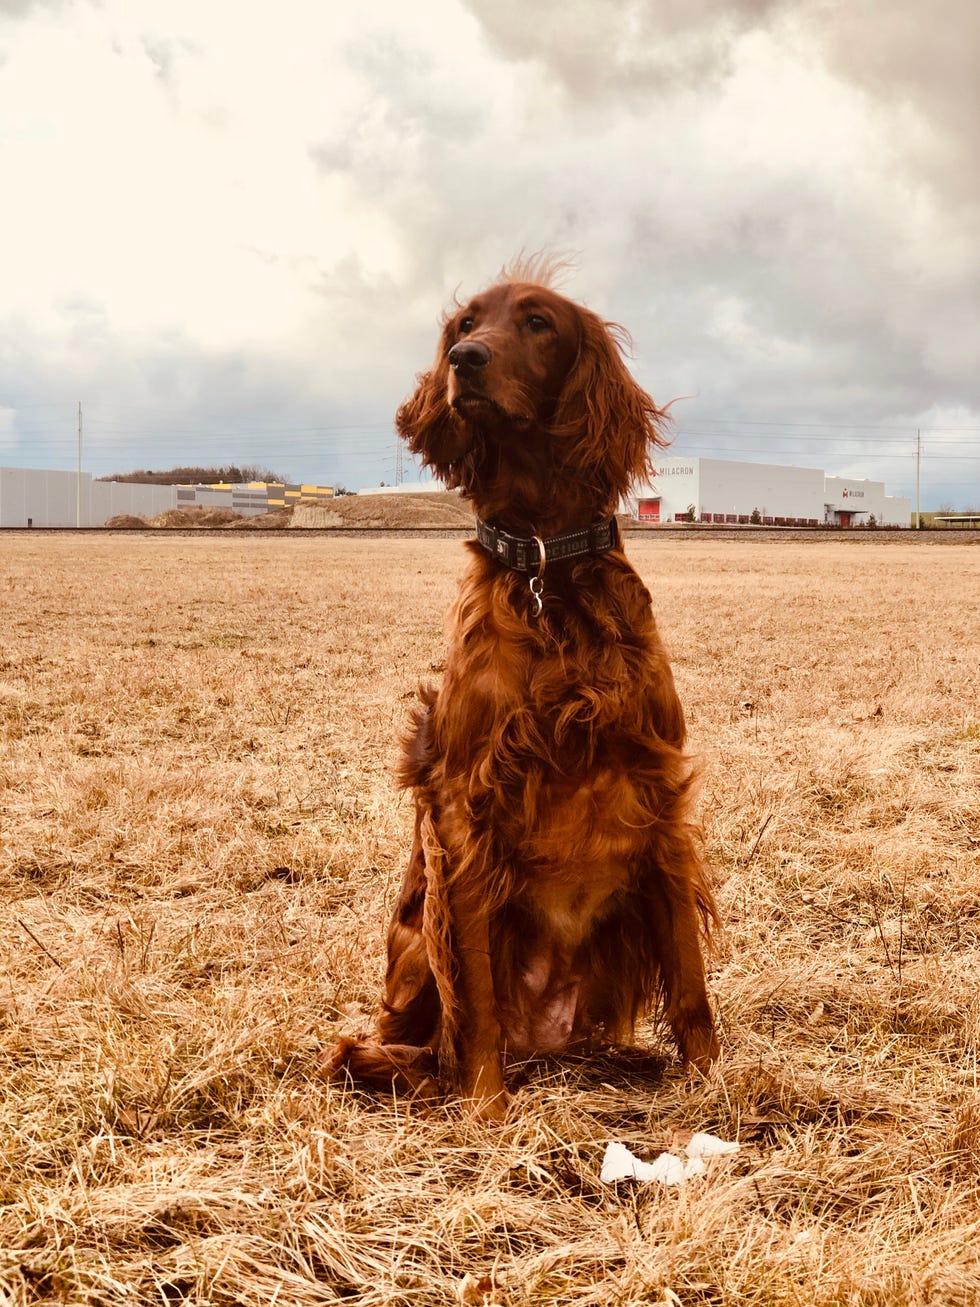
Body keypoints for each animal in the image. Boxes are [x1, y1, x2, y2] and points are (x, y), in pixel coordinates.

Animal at [330, 270, 721, 1118]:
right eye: (463, 325)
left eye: (538, 322)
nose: (466, 361)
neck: (545, 558)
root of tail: (540, 1045)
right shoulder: (463, 808)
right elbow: (474, 992)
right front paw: (486, 1112)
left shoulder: (658, 790)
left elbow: (690, 977)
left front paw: (718, 1086)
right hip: (417, 932)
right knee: (400, 1043)